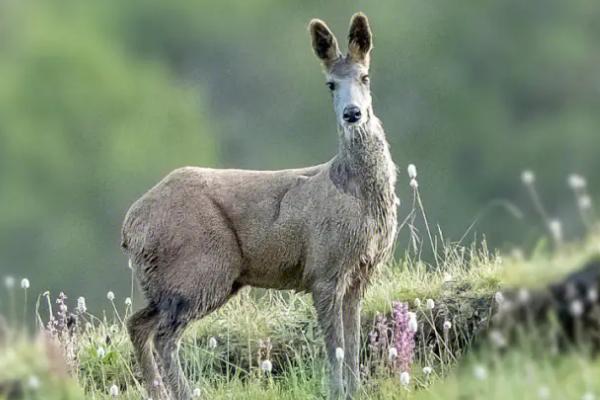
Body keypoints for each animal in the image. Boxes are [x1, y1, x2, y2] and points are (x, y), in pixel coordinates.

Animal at [122, 13, 398, 400]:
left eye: (365, 76)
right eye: (330, 84)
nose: (353, 113)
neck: (357, 193)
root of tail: (130, 229)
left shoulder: (361, 271)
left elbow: (353, 343)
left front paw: (355, 391)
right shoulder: (324, 268)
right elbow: (336, 346)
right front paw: (335, 391)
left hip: (169, 283)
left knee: (137, 324)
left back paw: (158, 392)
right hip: (202, 269)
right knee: (164, 336)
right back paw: (185, 393)